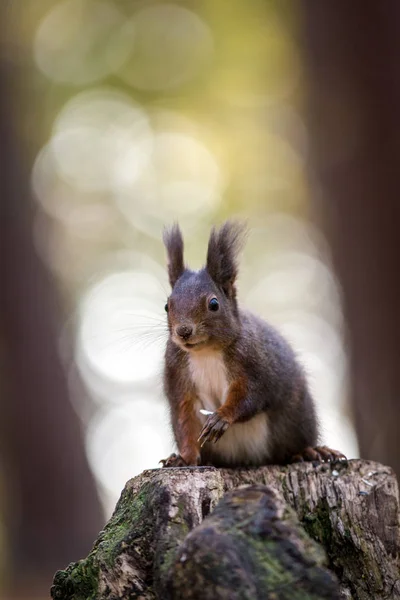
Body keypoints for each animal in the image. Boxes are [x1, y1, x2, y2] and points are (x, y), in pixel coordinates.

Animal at [159, 220, 344, 468]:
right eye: (167, 306)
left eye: (214, 304)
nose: (184, 331)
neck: (205, 352)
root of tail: (246, 460)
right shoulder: (177, 374)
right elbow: (185, 419)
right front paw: (184, 459)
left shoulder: (255, 364)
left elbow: (250, 396)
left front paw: (221, 417)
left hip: (296, 419)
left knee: (293, 445)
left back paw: (310, 452)